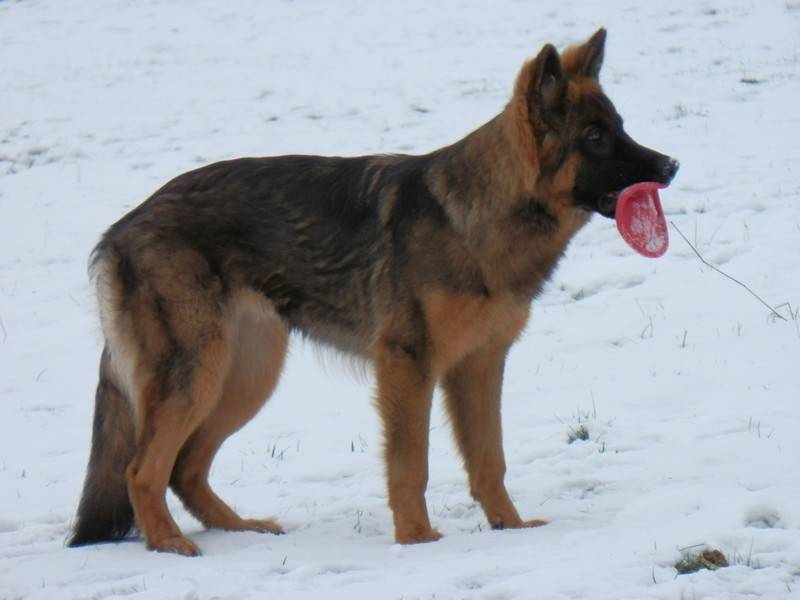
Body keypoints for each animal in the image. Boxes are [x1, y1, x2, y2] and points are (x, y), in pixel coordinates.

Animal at [68, 29, 678, 555]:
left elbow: (490, 459)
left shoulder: (479, 366)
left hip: (245, 375)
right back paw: (169, 544)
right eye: (595, 138)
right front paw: (417, 540)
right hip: (199, 374)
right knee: (141, 469)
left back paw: (239, 529)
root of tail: (123, 226)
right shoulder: (408, 365)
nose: (671, 165)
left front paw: (511, 527)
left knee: (184, 467)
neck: (479, 213)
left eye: (620, 127)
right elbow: (412, 462)